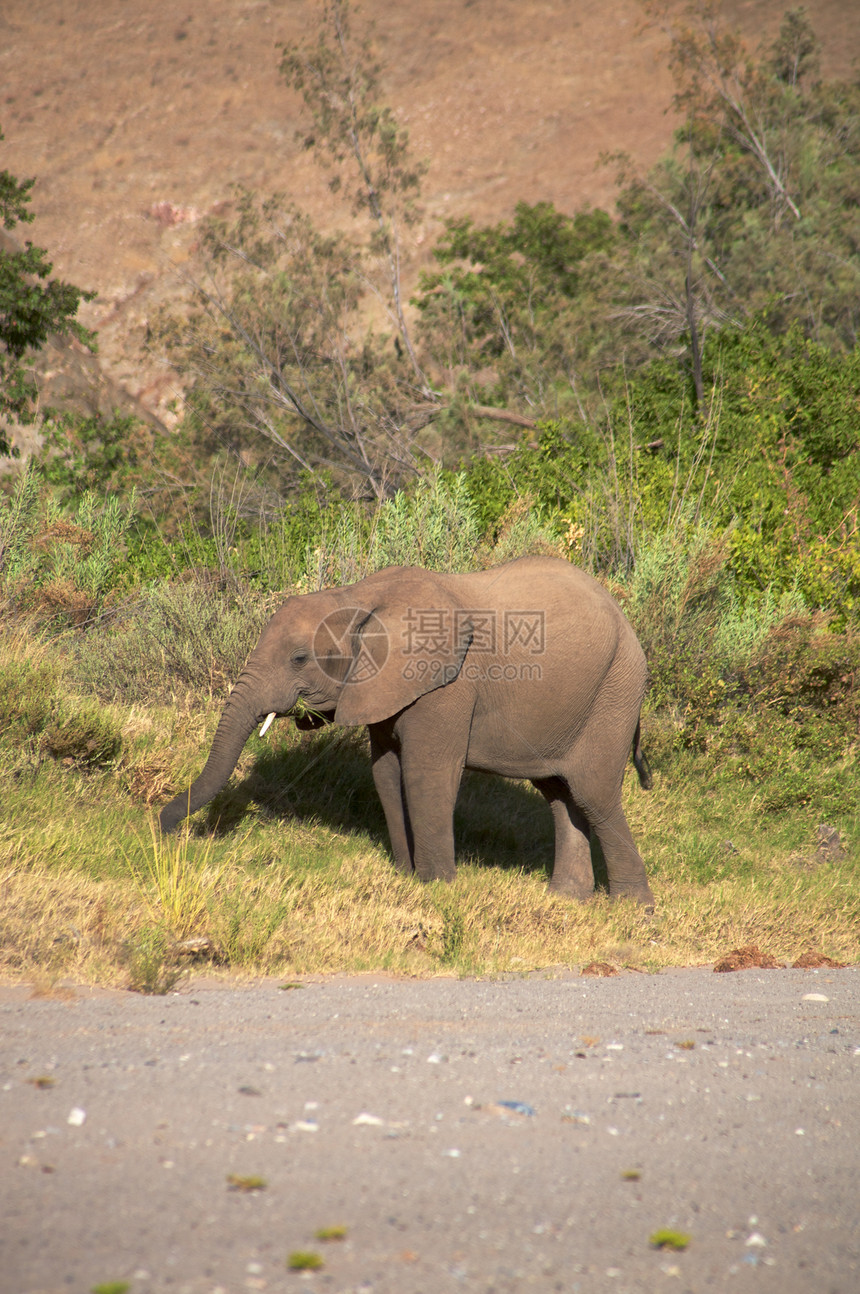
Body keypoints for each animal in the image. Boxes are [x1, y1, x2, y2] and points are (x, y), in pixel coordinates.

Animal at [159, 553, 651, 900]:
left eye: (299, 658)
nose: (164, 827)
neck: (356, 597)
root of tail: (626, 621)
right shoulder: (381, 688)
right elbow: (385, 772)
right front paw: (405, 877)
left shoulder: (447, 685)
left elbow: (424, 774)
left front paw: (437, 888)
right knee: (559, 795)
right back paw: (566, 900)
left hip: (614, 691)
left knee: (593, 793)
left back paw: (631, 909)